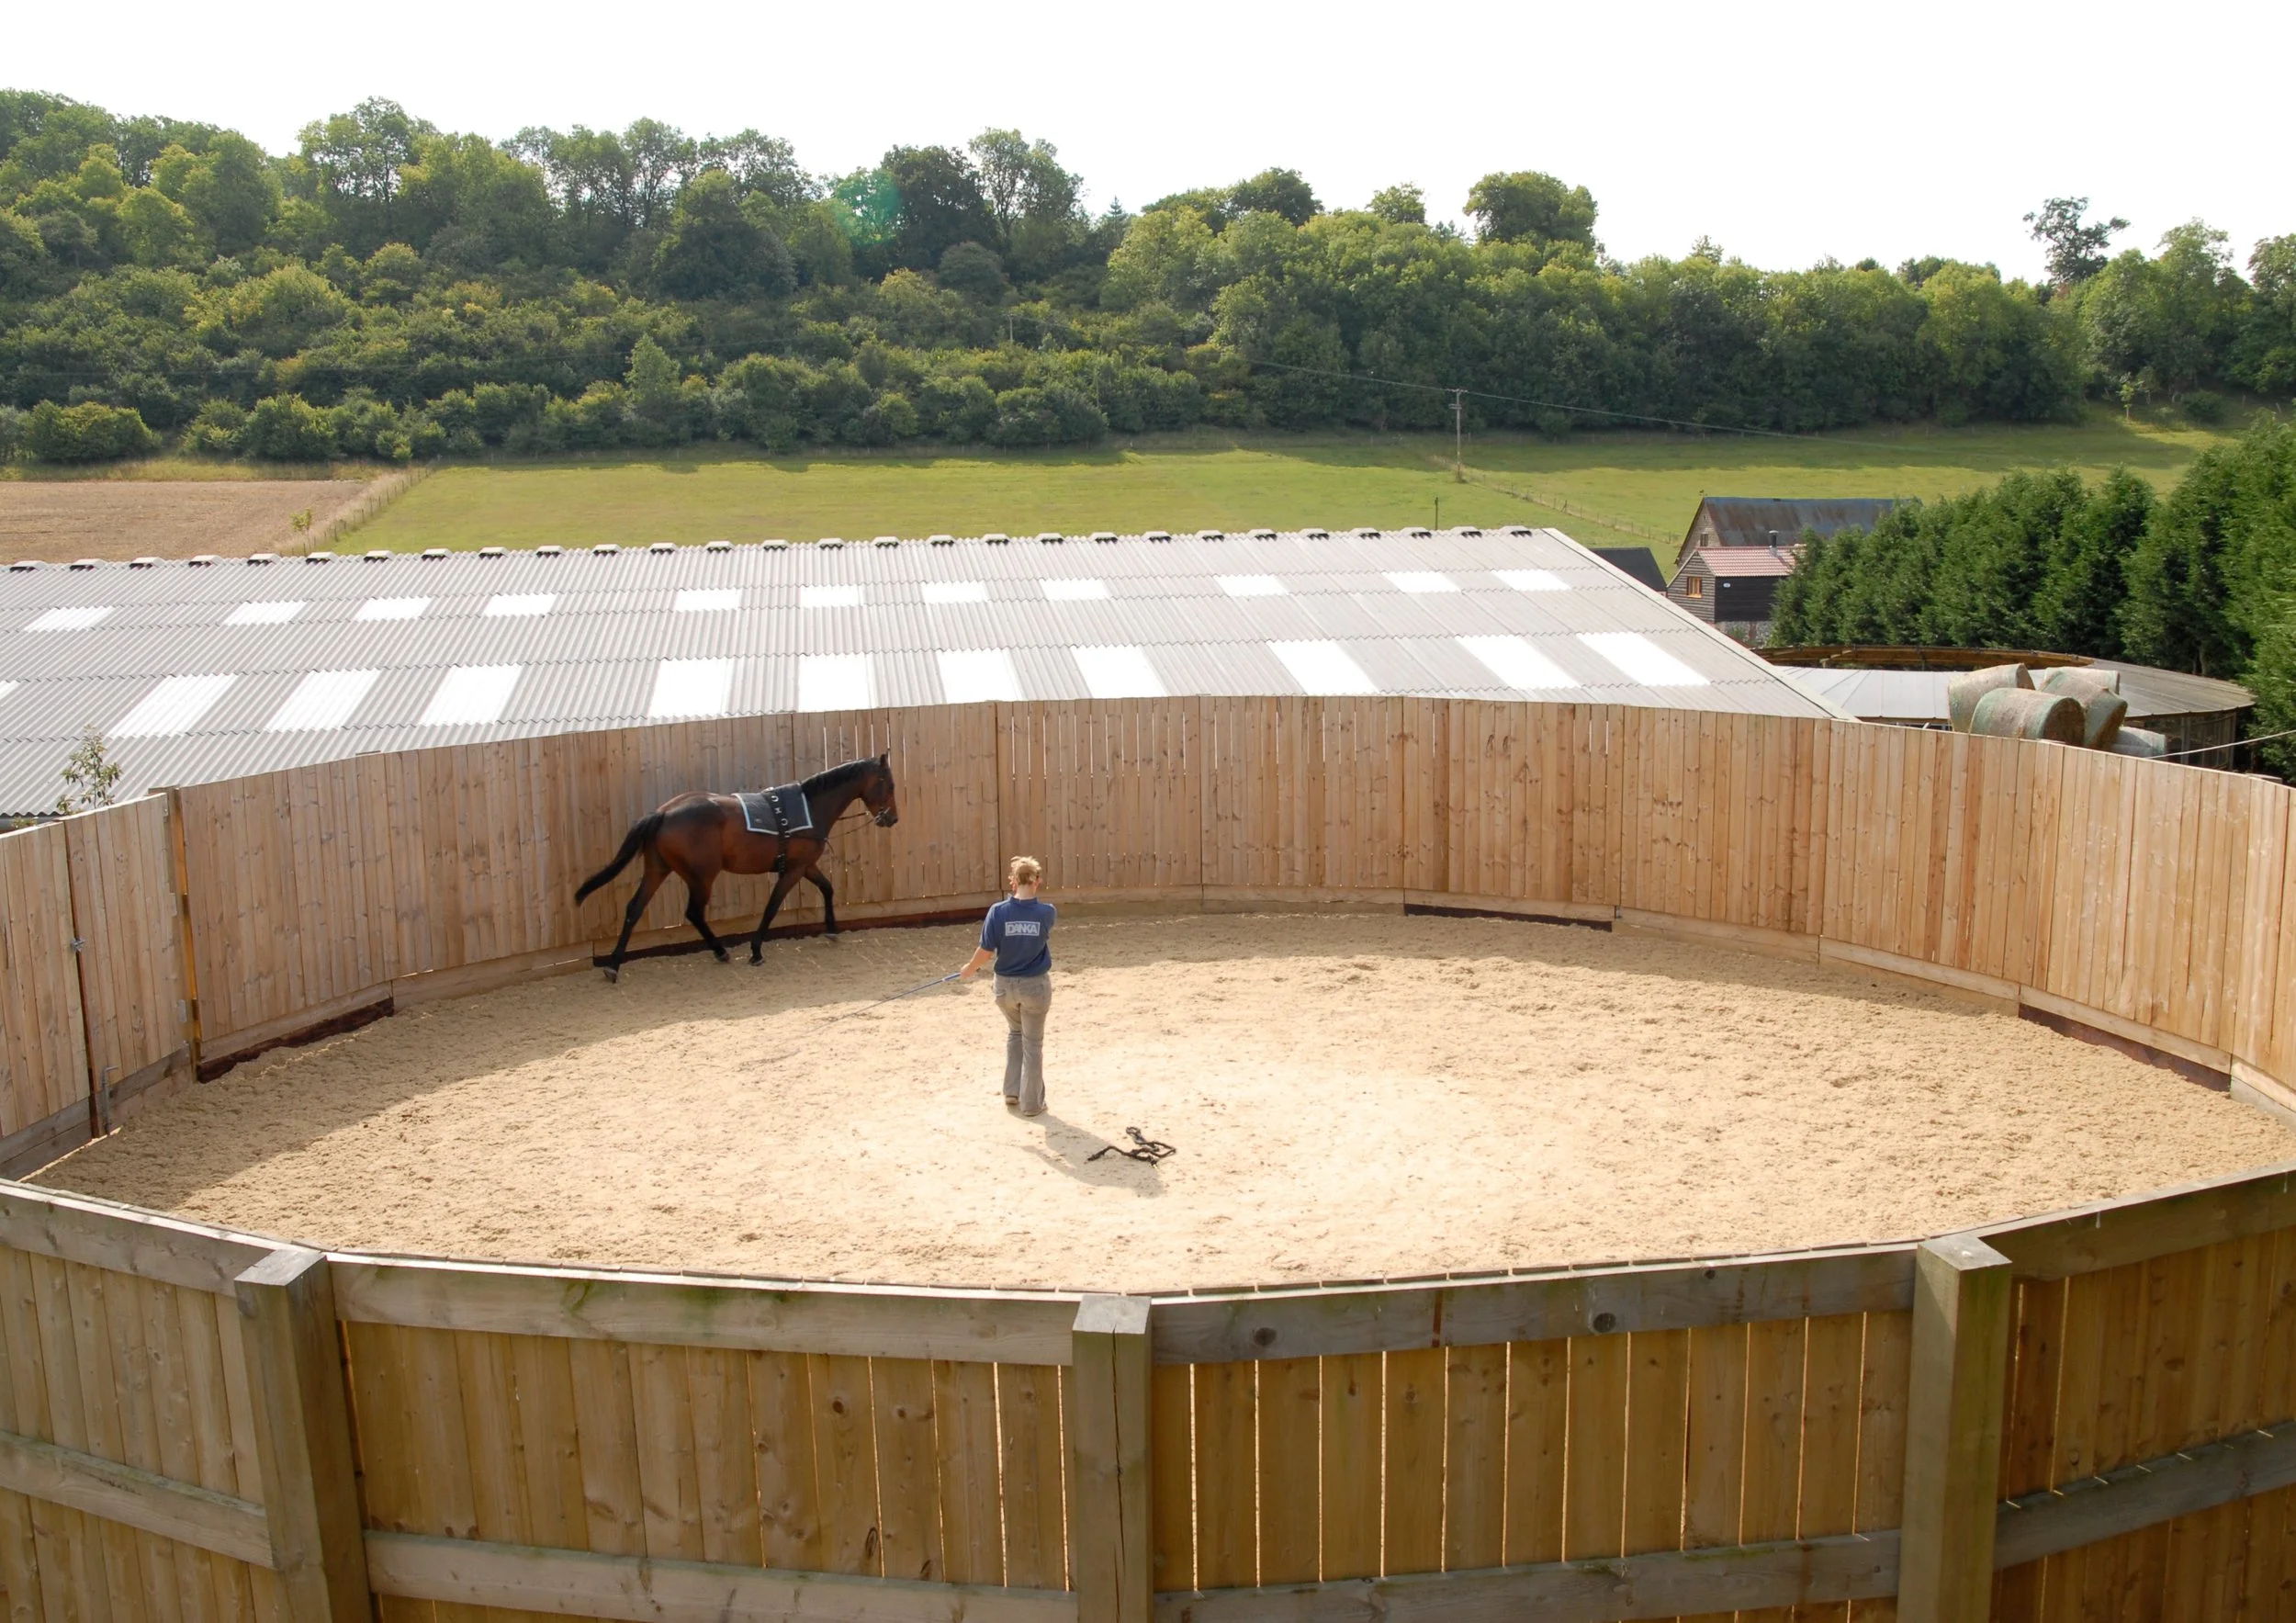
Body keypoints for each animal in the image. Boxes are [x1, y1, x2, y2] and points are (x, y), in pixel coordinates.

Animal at [573, 754, 900, 982]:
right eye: (890, 784)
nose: (892, 818)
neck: (809, 807)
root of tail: (663, 812)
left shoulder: (805, 865)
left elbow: (827, 889)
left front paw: (831, 930)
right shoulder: (793, 870)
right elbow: (771, 908)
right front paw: (756, 951)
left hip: (658, 870)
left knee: (634, 909)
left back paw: (614, 966)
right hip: (701, 877)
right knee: (693, 912)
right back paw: (719, 951)